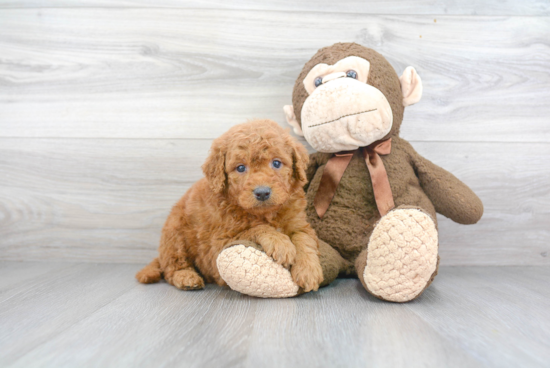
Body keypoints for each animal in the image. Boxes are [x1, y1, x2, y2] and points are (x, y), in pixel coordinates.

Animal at [137, 119, 324, 294]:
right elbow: (255, 229)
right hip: (174, 235)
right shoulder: (218, 244)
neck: (266, 214)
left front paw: (308, 270)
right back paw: (186, 277)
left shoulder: (299, 223)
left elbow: (304, 239)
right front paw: (280, 242)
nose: (262, 192)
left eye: (276, 163)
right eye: (240, 168)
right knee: (172, 267)